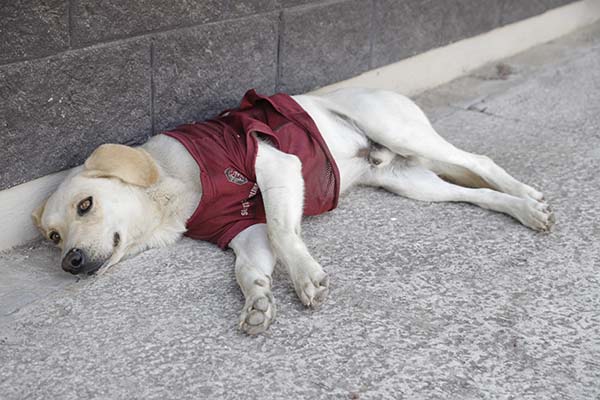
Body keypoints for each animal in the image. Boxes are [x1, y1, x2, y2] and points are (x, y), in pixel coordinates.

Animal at [29, 88, 552, 334]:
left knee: (479, 163)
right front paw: (258, 302)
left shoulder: (275, 164)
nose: (69, 262)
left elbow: (285, 233)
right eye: (53, 237)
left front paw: (304, 277)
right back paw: (524, 209)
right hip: (413, 185)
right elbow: (248, 270)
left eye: (86, 204)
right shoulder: (241, 231)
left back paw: (529, 197)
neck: (175, 185)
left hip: (403, 133)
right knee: (476, 194)